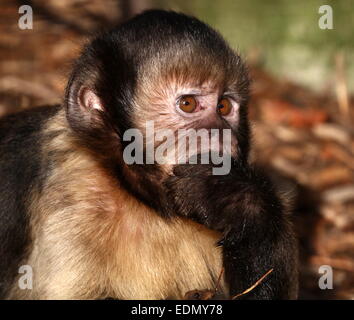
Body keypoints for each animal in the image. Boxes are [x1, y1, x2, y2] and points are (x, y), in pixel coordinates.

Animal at [0, 10, 298, 300]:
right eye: (188, 104)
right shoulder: (75, 185)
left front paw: (232, 195)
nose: (221, 133)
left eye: (224, 107)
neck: (139, 197)